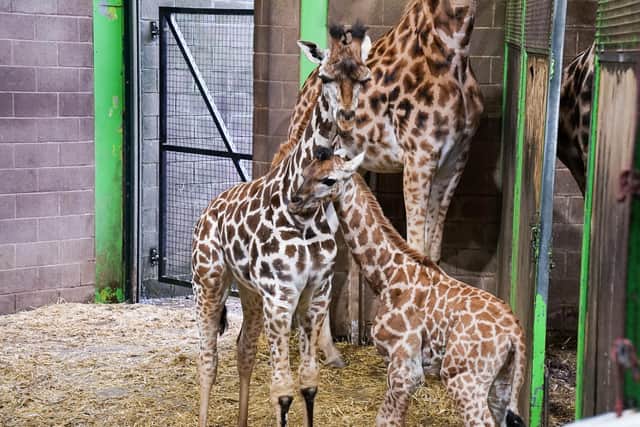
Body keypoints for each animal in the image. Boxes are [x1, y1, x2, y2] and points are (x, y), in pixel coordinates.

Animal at [191, 25, 371, 427]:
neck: (304, 218)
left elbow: (308, 384)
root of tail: (206, 210)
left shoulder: (314, 293)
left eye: (364, 78)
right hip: (208, 283)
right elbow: (282, 392)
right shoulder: (282, 294)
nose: (347, 116)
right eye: (325, 76)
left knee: (243, 349)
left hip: (249, 291)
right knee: (207, 359)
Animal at [272, 0, 484, 263]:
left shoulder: (457, 159)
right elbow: (416, 246)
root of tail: (308, 81)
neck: (455, 53)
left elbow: (433, 250)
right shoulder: (420, 158)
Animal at [288, 153, 527, 427]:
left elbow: (387, 420)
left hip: (463, 378)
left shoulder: (405, 368)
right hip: (502, 382)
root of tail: (516, 335)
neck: (387, 278)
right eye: (305, 172)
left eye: (329, 180)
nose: (294, 201)